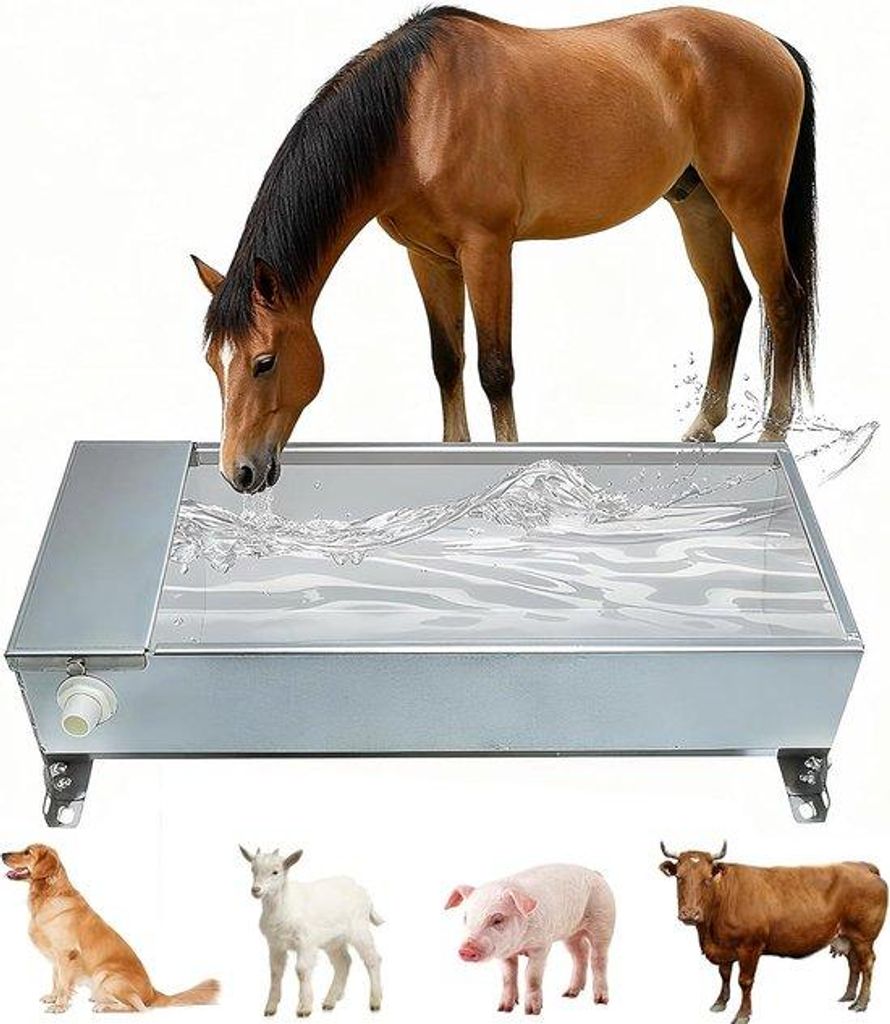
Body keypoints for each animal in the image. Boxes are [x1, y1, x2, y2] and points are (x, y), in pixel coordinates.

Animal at [193, 5, 817, 493]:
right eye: (213, 363)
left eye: (264, 362)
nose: (238, 473)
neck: (418, 113)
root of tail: (773, 44)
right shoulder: (428, 257)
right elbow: (447, 362)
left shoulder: (487, 249)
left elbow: (496, 369)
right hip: (697, 204)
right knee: (729, 302)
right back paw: (702, 425)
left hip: (751, 204)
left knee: (782, 299)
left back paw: (772, 430)